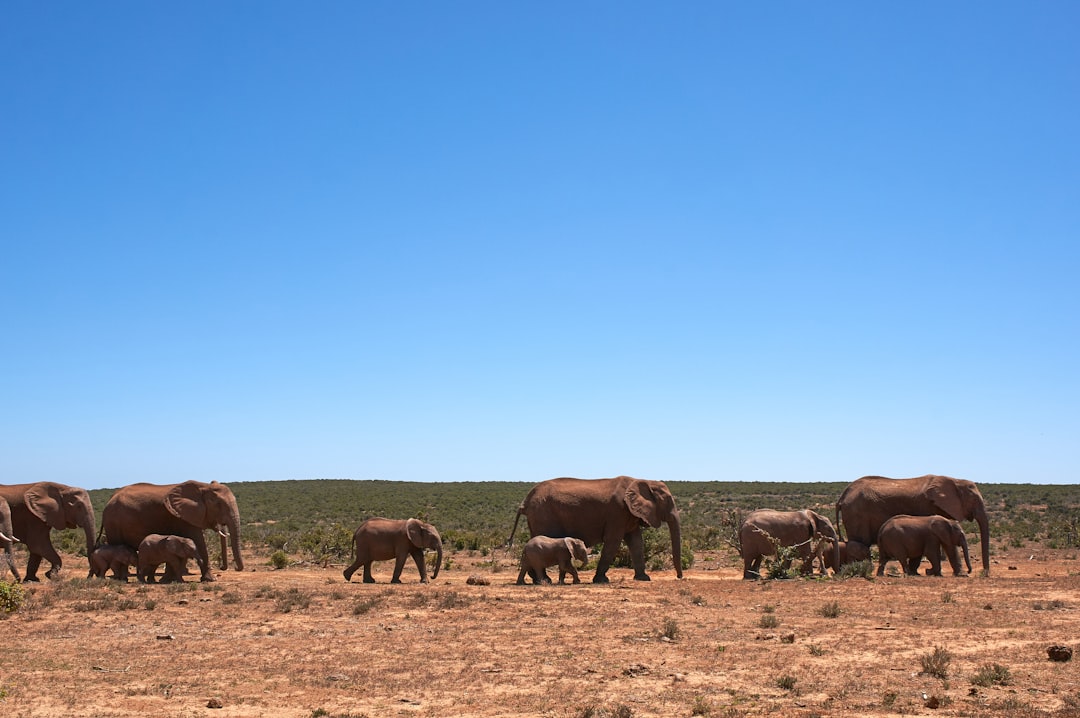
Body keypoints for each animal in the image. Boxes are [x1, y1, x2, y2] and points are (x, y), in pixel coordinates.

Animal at [101, 479, 245, 578]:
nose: (222, 567)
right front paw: (210, 579)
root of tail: (109, 501)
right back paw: (122, 578)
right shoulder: (182, 517)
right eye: (218, 504)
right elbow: (198, 542)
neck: (203, 486)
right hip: (112, 523)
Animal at [507, 475, 682, 583]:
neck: (641, 480)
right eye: (668, 500)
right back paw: (544, 581)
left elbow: (636, 543)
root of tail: (525, 502)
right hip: (543, 515)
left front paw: (644, 579)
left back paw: (537, 580)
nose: (679, 577)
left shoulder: (628, 514)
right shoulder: (617, 512)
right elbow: (613, 542)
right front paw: (601, 581)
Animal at [833, 472, 989, 574]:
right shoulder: (928, 506)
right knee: (861, 543)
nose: (984, 573)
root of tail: (842, 497)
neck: (955, 480)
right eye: (974, 500)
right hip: (856, 514)